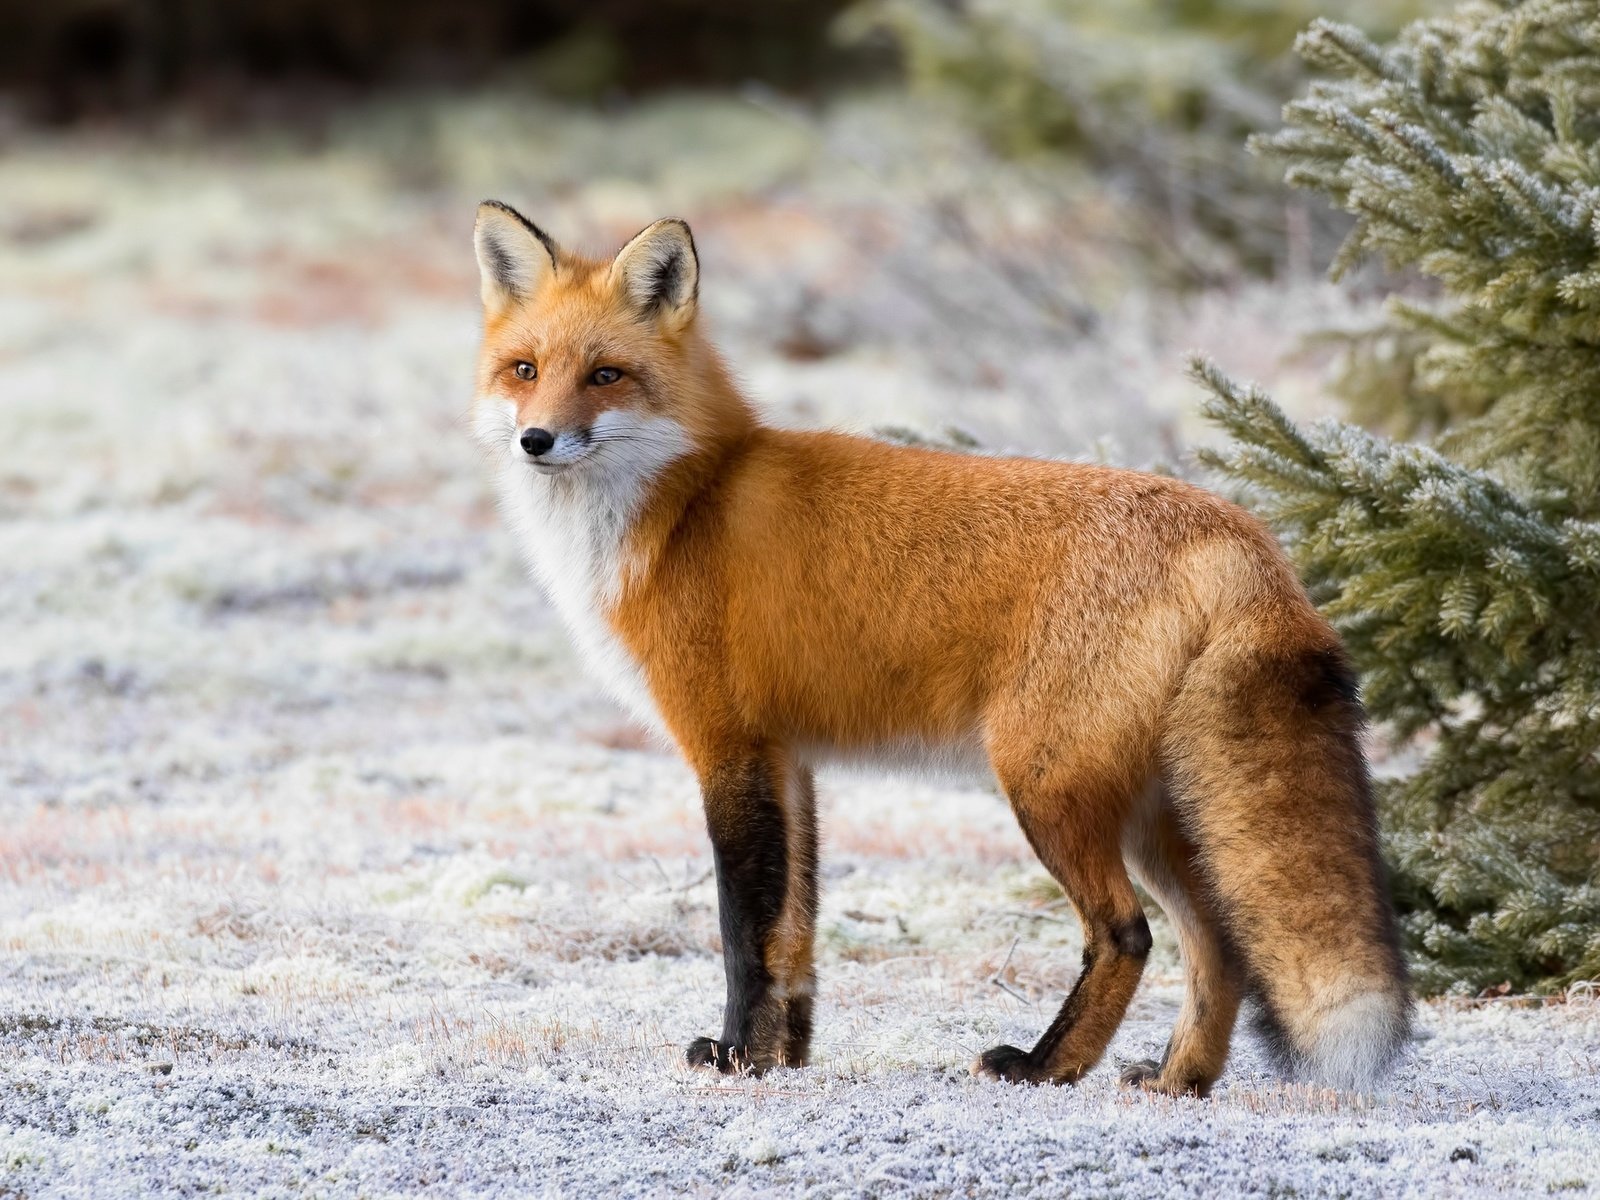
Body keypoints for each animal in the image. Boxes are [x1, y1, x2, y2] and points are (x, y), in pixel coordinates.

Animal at [467, 199, 1411, 1096]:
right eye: (525, 370)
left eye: (606, 375)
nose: (534, 441)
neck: (682, 502)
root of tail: (1240, 533)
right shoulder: (788, 760)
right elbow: (794, 931)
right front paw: (783, 1058)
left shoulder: (726, 747)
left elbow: (744, 931)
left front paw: (735, 1057)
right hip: (1152, 808)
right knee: (1218, 941)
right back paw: (1177, 1079)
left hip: (1045, 785)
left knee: (1127, 934)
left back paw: (1044, 1067)